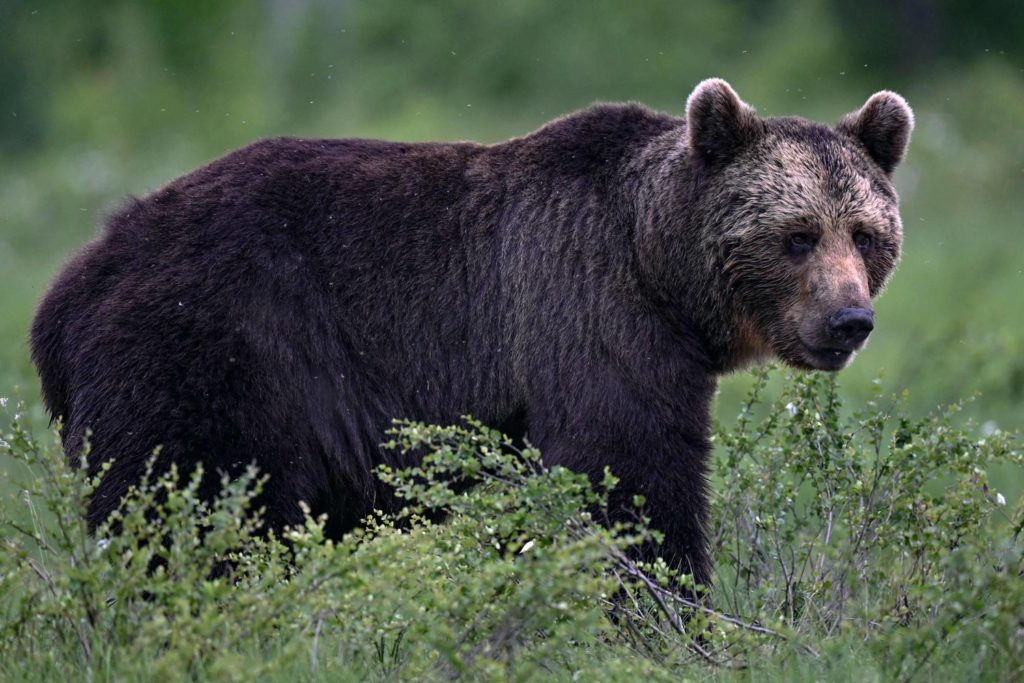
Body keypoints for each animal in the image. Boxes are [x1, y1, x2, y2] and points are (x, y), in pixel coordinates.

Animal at [30, 79, 912, 586]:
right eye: (797, 234)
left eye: (867, 233)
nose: (849, 319)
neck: (656, 262)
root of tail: (65, 293)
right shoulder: (586, 313)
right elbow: (629, 474)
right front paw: (670, 604)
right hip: (213, 350)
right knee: (189, 513)